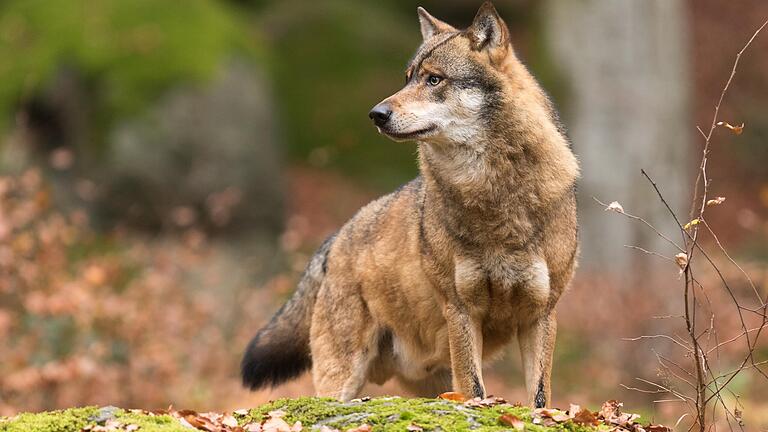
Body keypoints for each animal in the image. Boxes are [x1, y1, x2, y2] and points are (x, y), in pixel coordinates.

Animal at [240, 2, 576, 408]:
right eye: (407, 78)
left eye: (434, 80)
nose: (376, 114)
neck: (495, 195)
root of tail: (335, 239)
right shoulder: (461, 310)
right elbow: (476, 391)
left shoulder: (541, 314)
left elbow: (540, 398)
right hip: (343, 377)